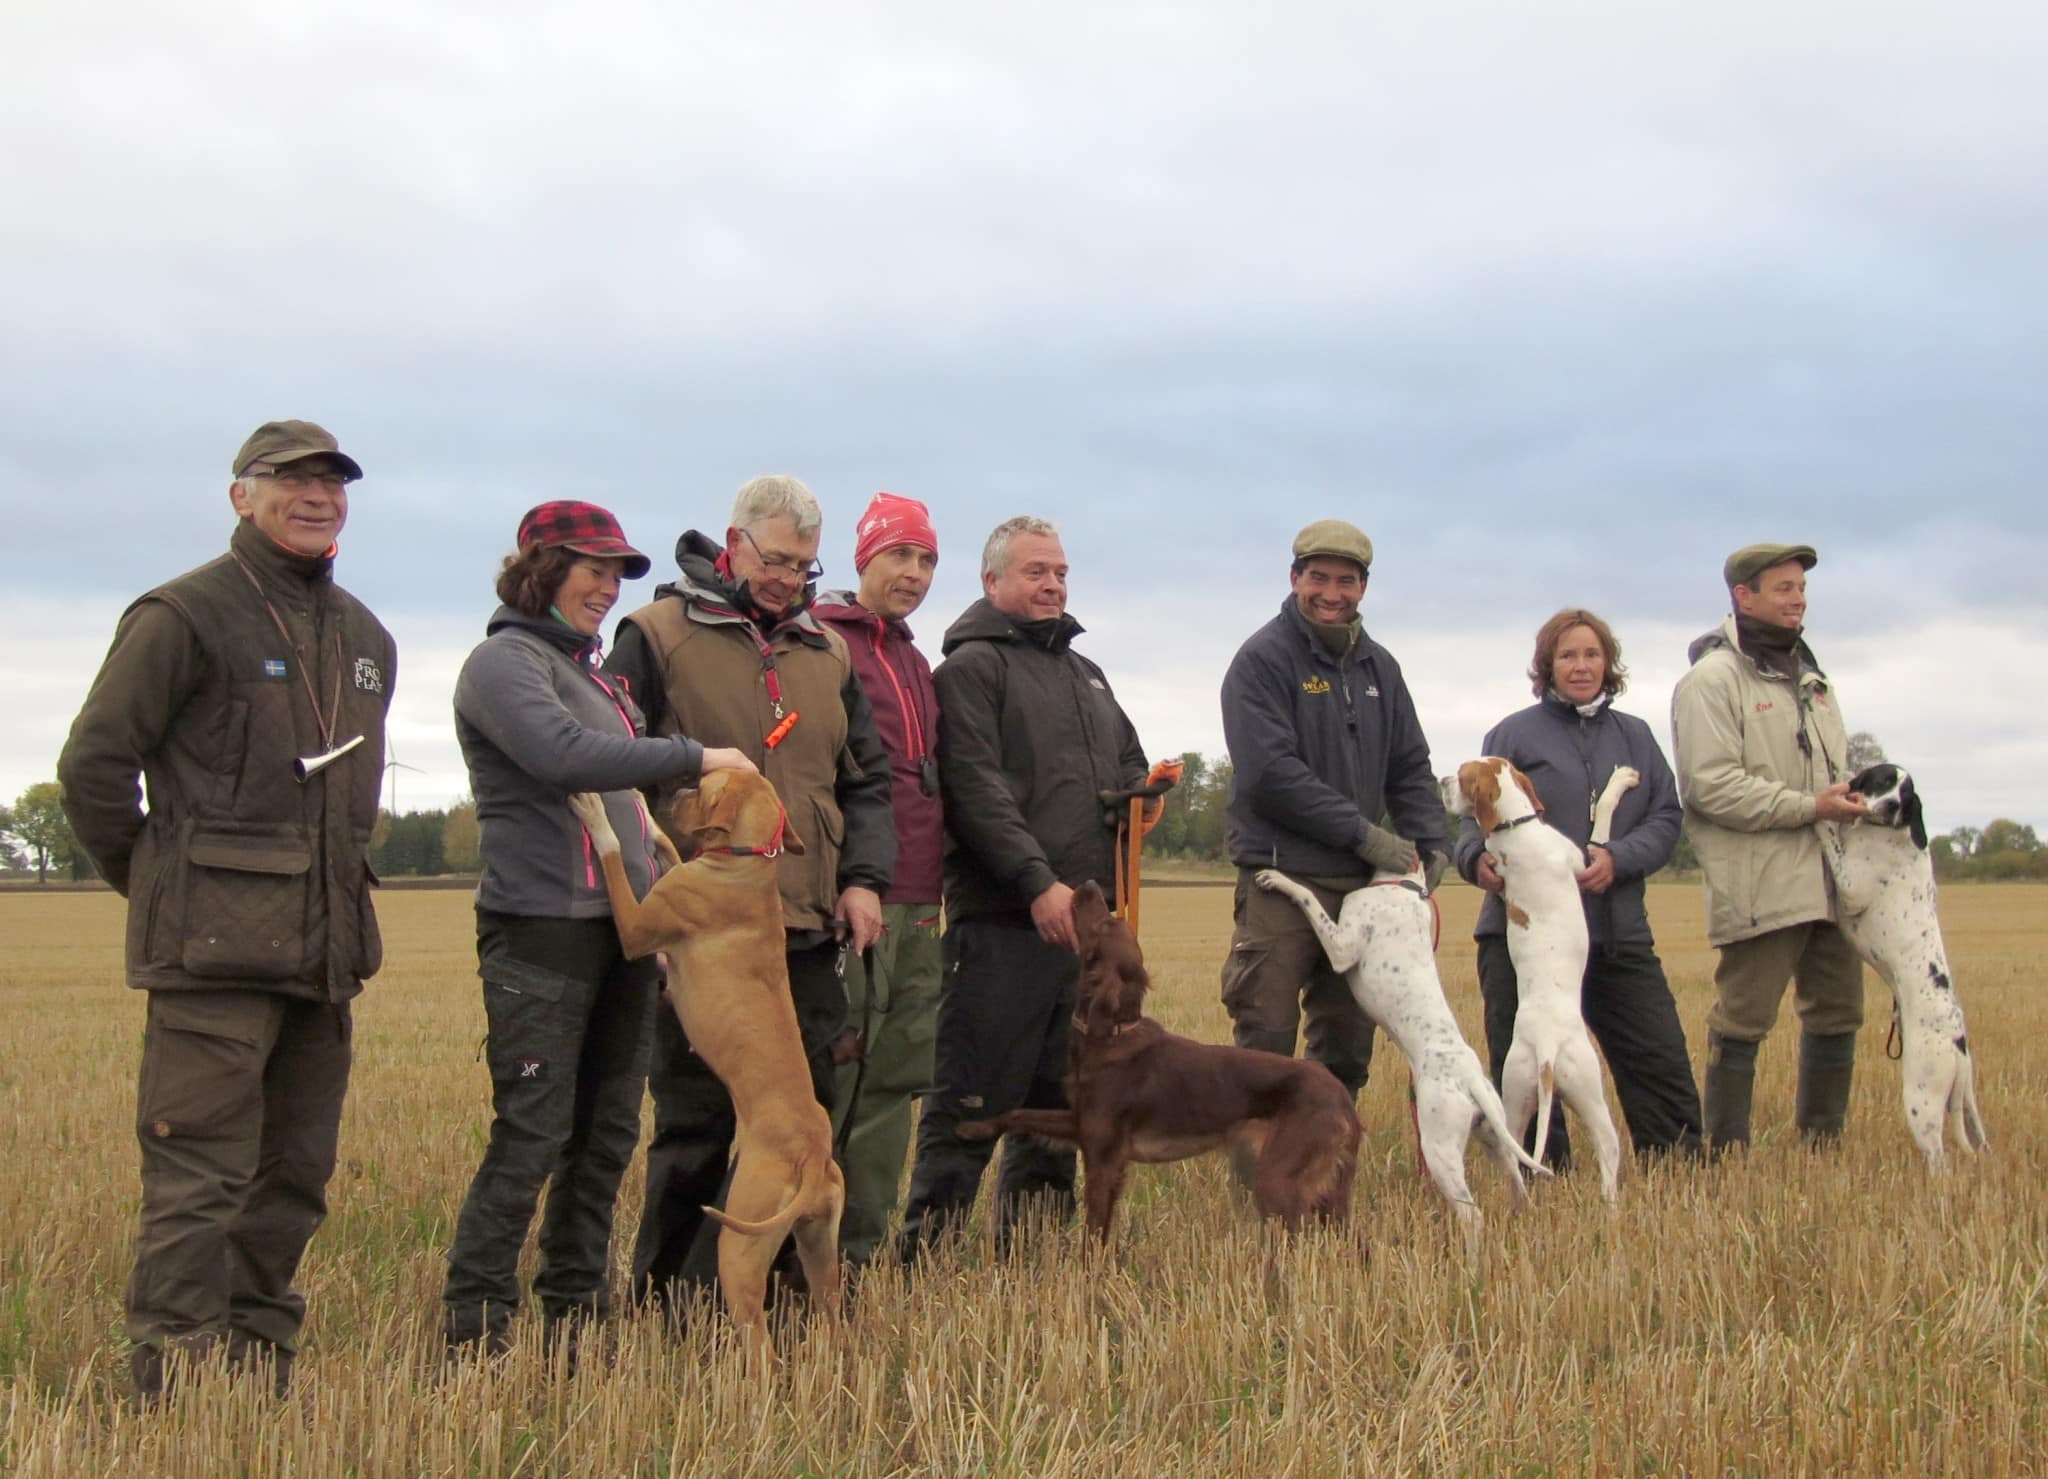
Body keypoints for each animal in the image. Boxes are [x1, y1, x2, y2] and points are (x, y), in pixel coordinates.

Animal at [561, 770, 839, 1360]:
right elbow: (664, 844)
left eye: (705, 784)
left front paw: (598, 812)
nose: (675, 789)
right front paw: (642, 811)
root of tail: (811, 1154)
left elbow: (615, 854)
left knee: (760, 1345)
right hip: (819, 1249)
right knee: (832, 1318)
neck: (749, 864)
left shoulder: (637, 926)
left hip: (739, 1249)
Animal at [1441, 762, 1630, 1196]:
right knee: (1608, 1150)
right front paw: (1622, 781)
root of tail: (1545, 1048)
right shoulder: (1585, 862)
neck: (1516, 827)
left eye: (1461, 775)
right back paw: (1611, 1202)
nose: (1441, 780)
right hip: (1591, 1093)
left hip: (1514, 1095)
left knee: (1515, 1155)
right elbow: (1603, 821)